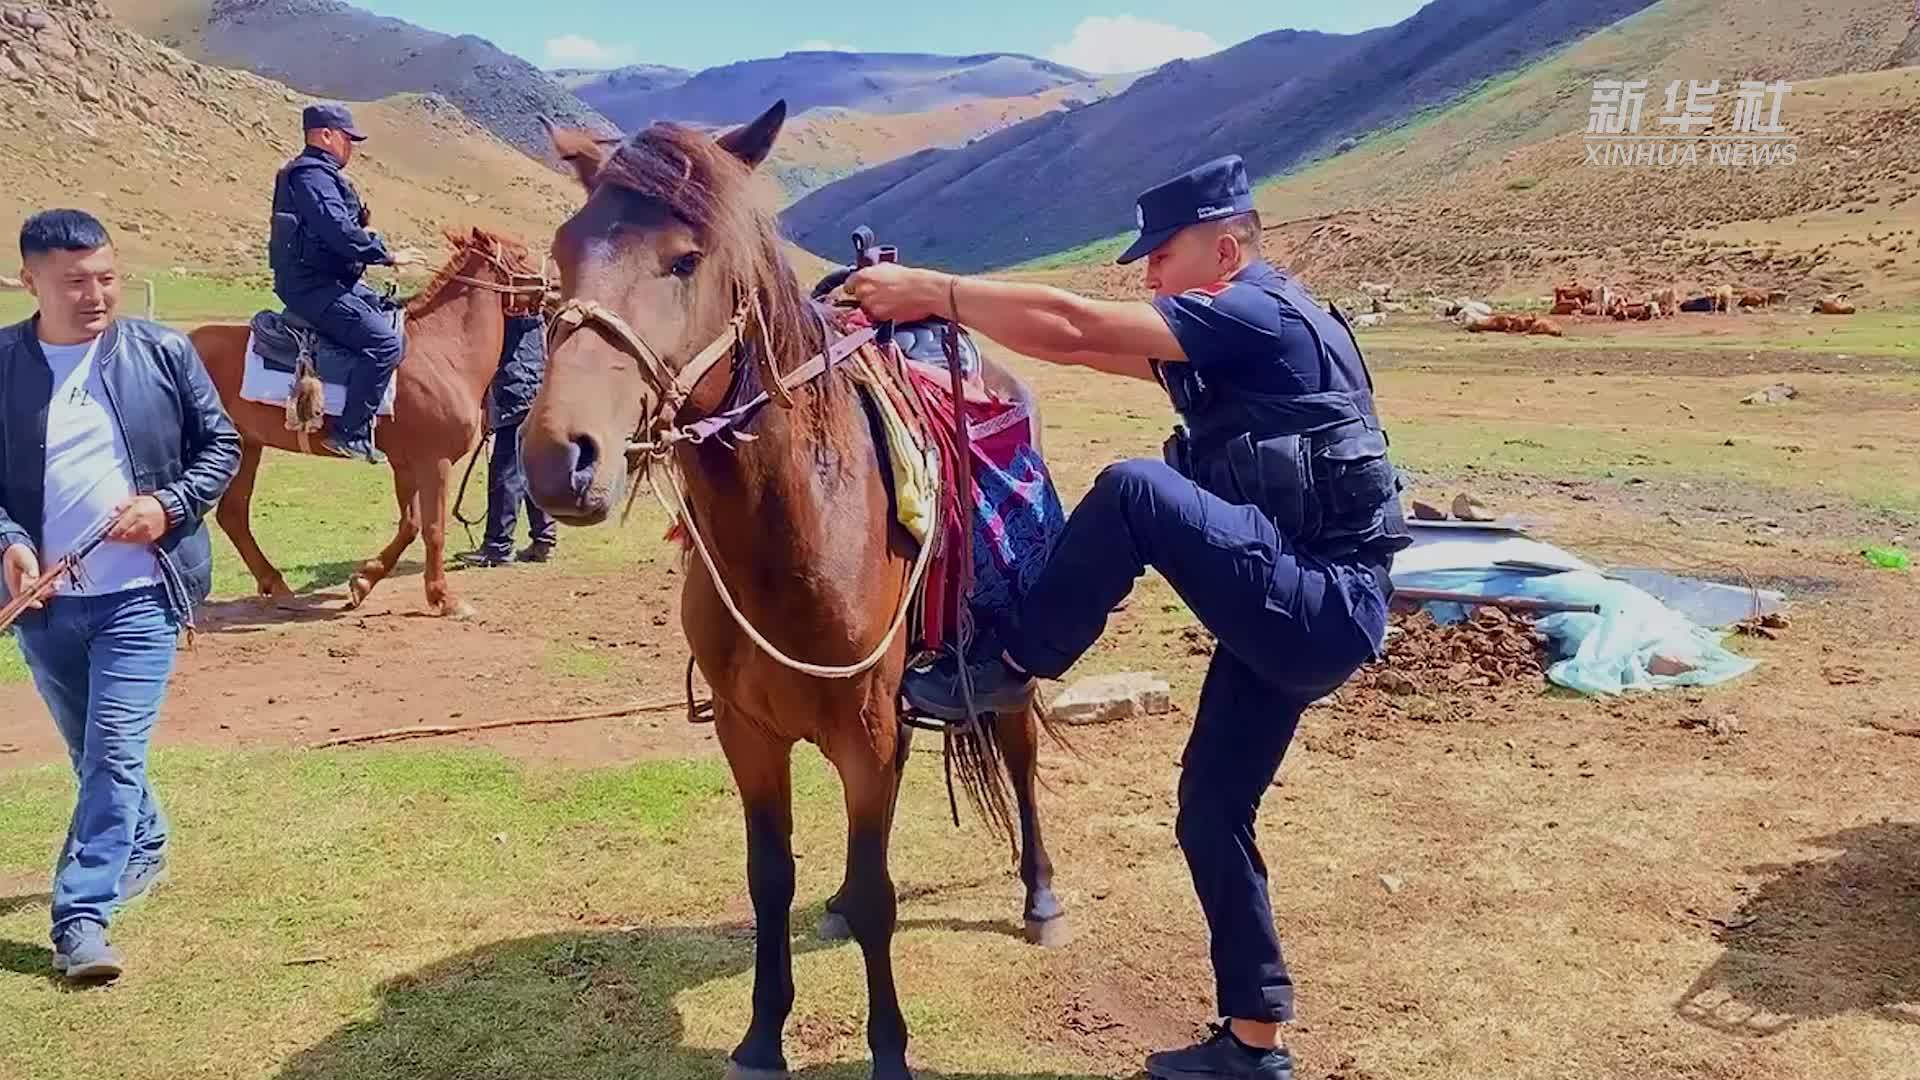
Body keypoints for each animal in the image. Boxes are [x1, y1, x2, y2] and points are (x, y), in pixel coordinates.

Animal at [192, 226, 549, 614]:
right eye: (522, 254)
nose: (557, 283)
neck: (443, 351)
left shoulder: (407, 464)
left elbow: (410, 525)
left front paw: (363, 582)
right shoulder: (434, 462)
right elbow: (434, 529)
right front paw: (443, 597)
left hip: (247, 446)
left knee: (233, 515)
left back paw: (278, 587)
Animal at [526, 102, 1067, 1076]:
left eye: (686, 259)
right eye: (563, 249)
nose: (561, 459)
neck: (793, 536)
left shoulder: (867, 734)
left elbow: (884, 891)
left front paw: (888, 1048)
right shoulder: (748, 732)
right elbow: (770, 878)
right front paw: (760, 1034)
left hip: (1001, 670)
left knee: (1020, 756)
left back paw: (1040, 897)